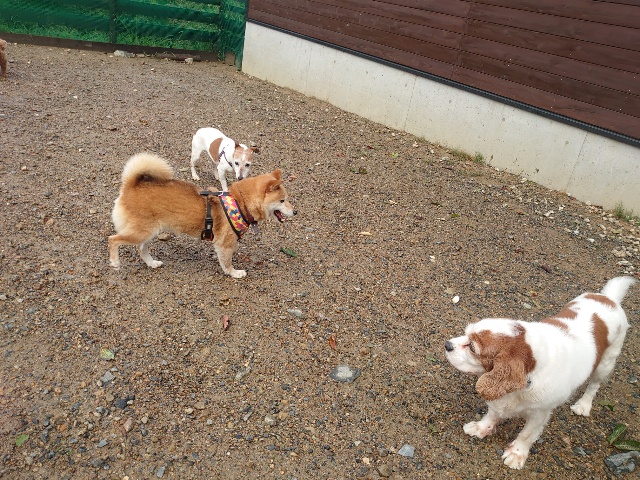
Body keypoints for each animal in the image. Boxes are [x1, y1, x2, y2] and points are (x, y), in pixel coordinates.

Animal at [109, 152, 296, 278]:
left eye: (287, 199)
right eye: (282, 200)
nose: (295, 211)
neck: (240, 203)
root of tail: (130, 185)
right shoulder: (223, 243)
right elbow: (227, 261)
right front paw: (234, 272)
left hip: (149, 231)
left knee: (141, 249)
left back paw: (152, 263)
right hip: (141, 232)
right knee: (113, 239)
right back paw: (115, 262)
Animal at [445, 276, 636, 469]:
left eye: (472, 347)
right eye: (465, 334)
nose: (447, 344)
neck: (529, 372)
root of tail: (610, 298)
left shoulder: (541, 413)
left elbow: (527, 434)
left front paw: (516, 454)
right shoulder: (500, 397)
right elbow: (493, 414)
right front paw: (481, 427)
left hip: (606, 363)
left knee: (594, 385)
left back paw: (583, 405)